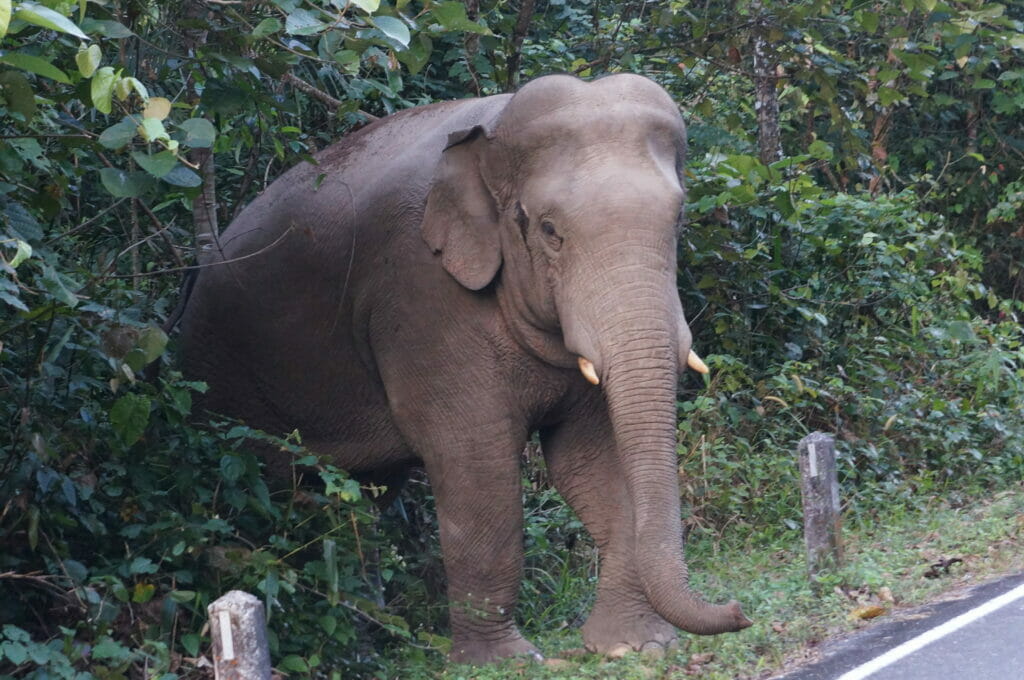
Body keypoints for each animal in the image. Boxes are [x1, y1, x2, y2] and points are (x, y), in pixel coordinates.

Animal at [178, 74, 753, 663]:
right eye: (549, 230)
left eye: (678, 219)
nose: (739, 611)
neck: (492, 133)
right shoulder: (419, 297)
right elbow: (476, 460)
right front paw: (507, 661)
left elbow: (592, 458)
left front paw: (632, 646)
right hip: (220, 380)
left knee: (359, 501)